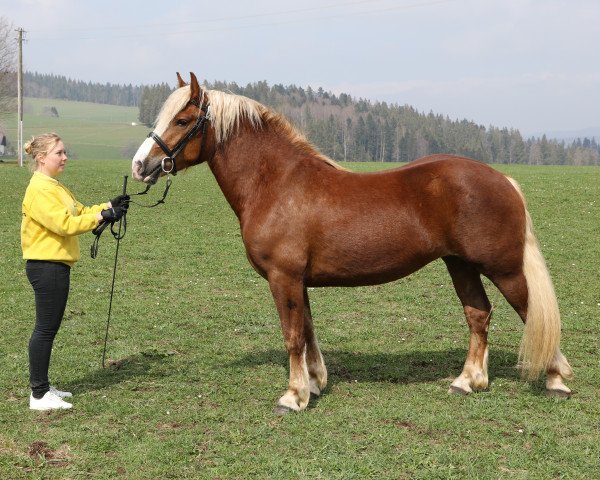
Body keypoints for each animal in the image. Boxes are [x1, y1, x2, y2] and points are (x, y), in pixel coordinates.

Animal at [131, 72, 572, 412]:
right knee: (478, 315)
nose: (140, 165)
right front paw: (312, 385)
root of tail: (504, 180)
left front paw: (292, 397)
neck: (276, 184)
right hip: (460, 264)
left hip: (504, 269)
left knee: (530, 313)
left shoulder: (283, 277)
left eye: (183, 119)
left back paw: (556, 379)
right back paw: (468, 381)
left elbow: (292, 335)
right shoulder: (298, 281)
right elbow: (307, 332)